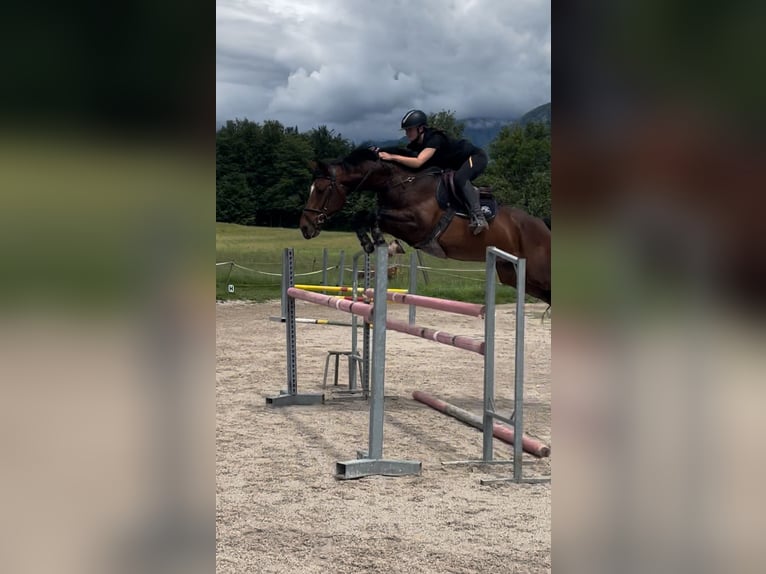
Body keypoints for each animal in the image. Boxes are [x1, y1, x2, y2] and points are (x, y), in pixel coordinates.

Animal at [300, 148, 552, 306]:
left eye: (320, 190)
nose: (305, 227)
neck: (399, 183)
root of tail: (542, 225)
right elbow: (362, 216)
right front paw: (369, 242)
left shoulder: (417, 226)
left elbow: (375, 214)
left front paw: (377, 238)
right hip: (515, 274)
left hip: (537, 272)